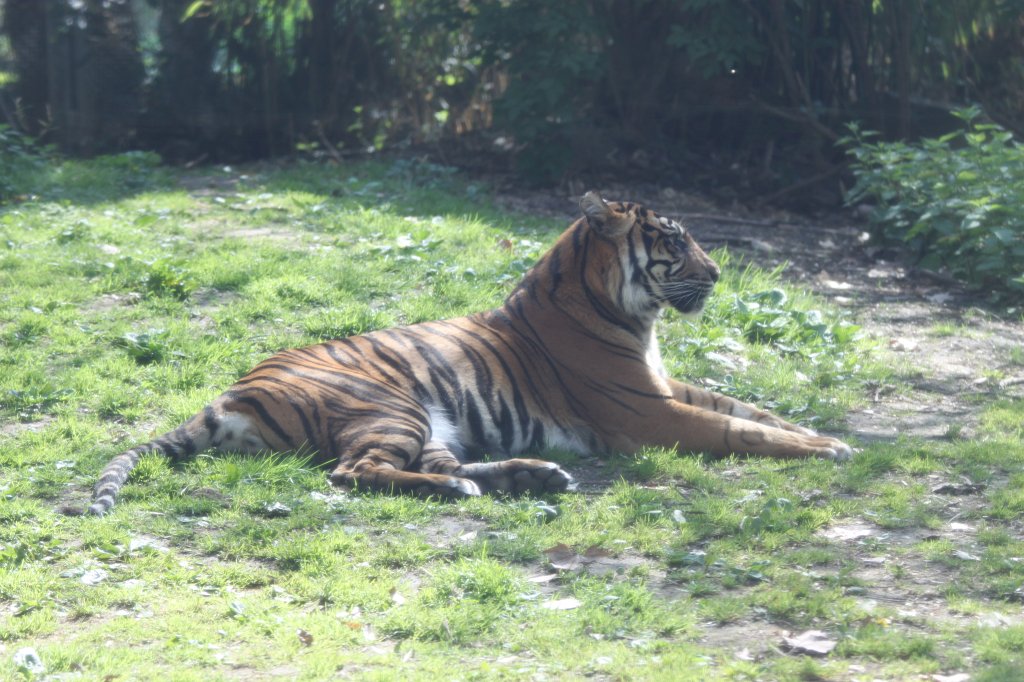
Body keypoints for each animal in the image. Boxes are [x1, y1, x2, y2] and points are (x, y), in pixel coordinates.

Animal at [83, 191, 852, 516]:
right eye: (674, 242)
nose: (719, 274)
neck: (633, 316)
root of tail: (227, 393)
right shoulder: (648, 411)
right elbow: (740, 430)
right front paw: (828, 450)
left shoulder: (666, 387)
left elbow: (753, 410)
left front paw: (824, 434)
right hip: (391, 406)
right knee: (354, 473)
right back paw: (474, 489)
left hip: (433, 423)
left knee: (435, 465)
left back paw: (534, 476)